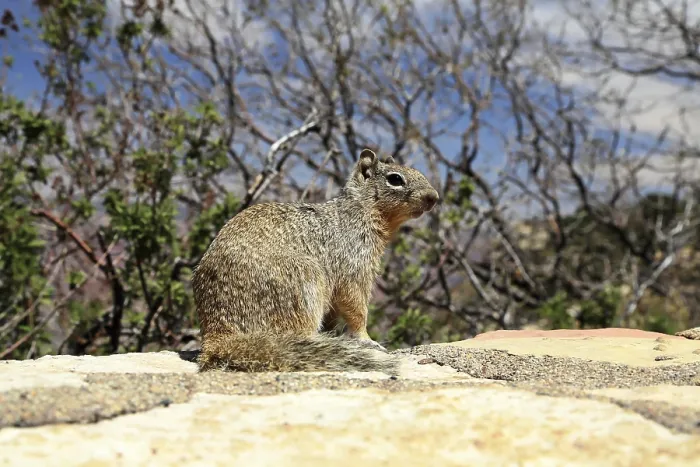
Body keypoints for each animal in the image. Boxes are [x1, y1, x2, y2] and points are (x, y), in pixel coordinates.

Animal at [191, 148, 439, 374]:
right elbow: (357, 309)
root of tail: (217, 335)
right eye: (395, 179)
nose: (434, 197)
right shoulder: (354, 267)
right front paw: (367, 340)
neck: (361, 210)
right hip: (305, 281)